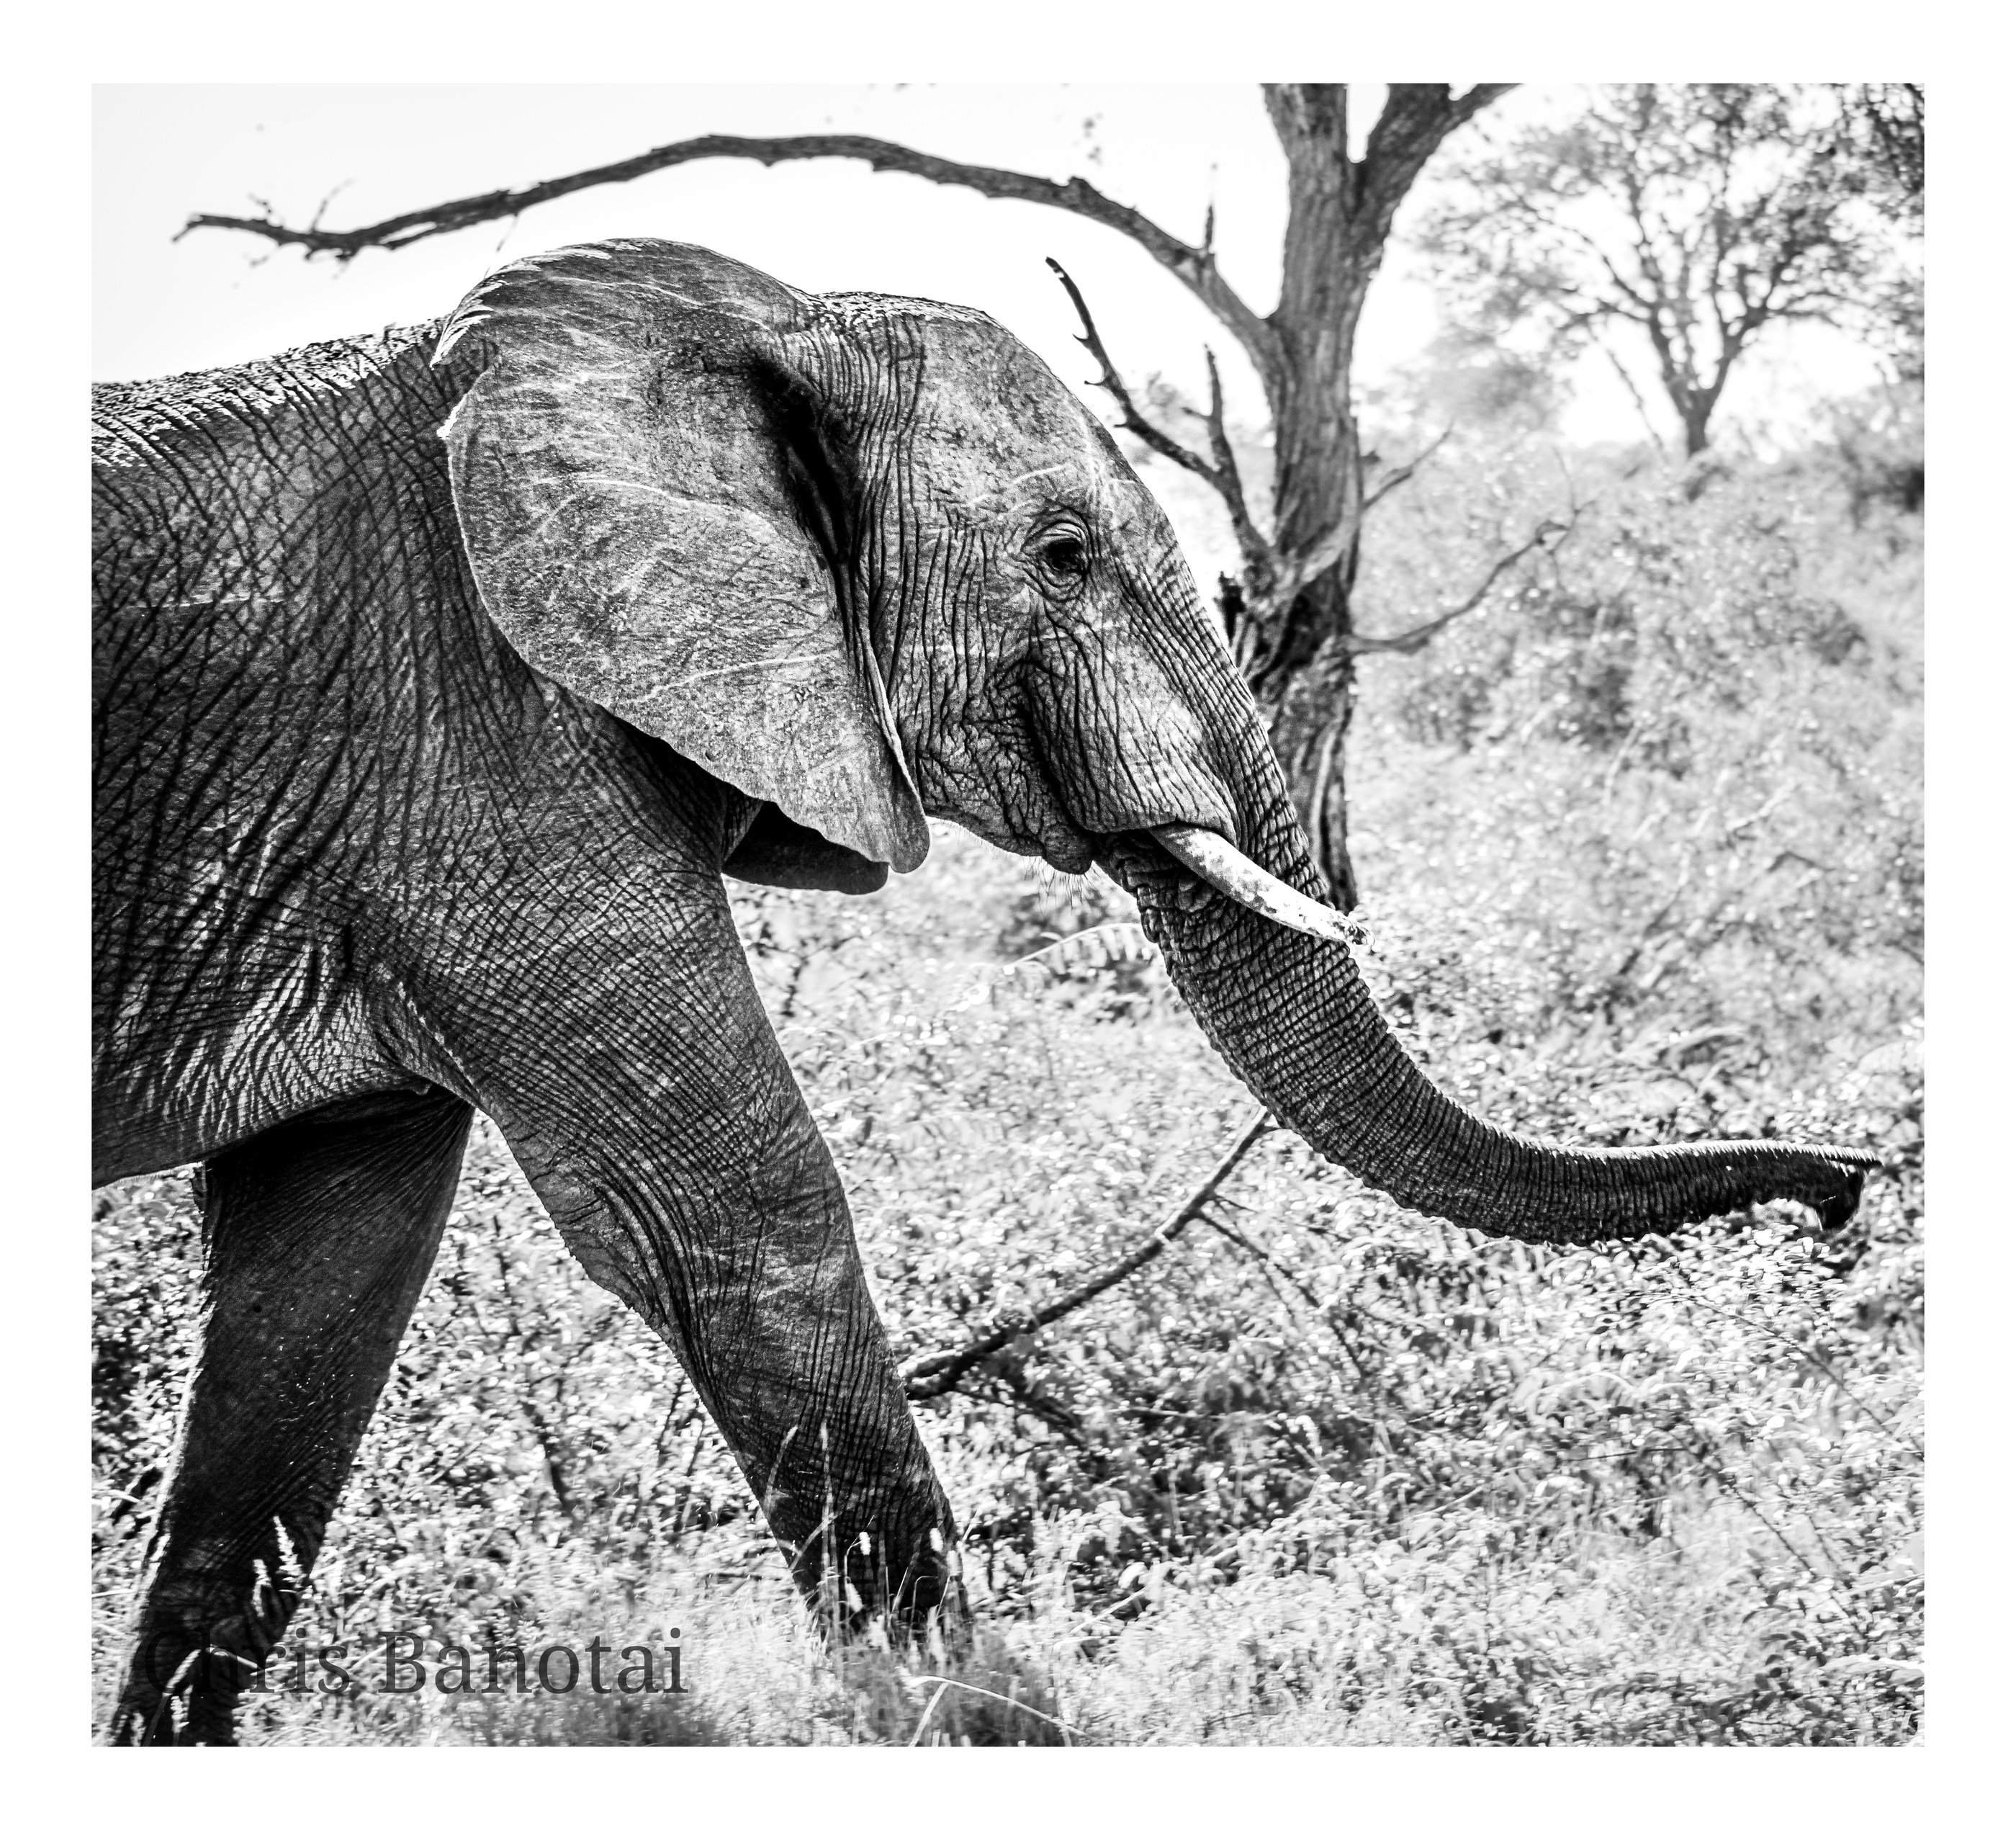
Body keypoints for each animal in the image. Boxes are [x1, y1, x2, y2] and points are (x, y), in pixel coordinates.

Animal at [92, 237, 1877, 1744]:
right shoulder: (492, 752)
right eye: (1063, 557)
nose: (1848, 1191)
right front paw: (991, 1728)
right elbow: (734, 1213)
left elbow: (319, 1291)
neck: (759, 316)